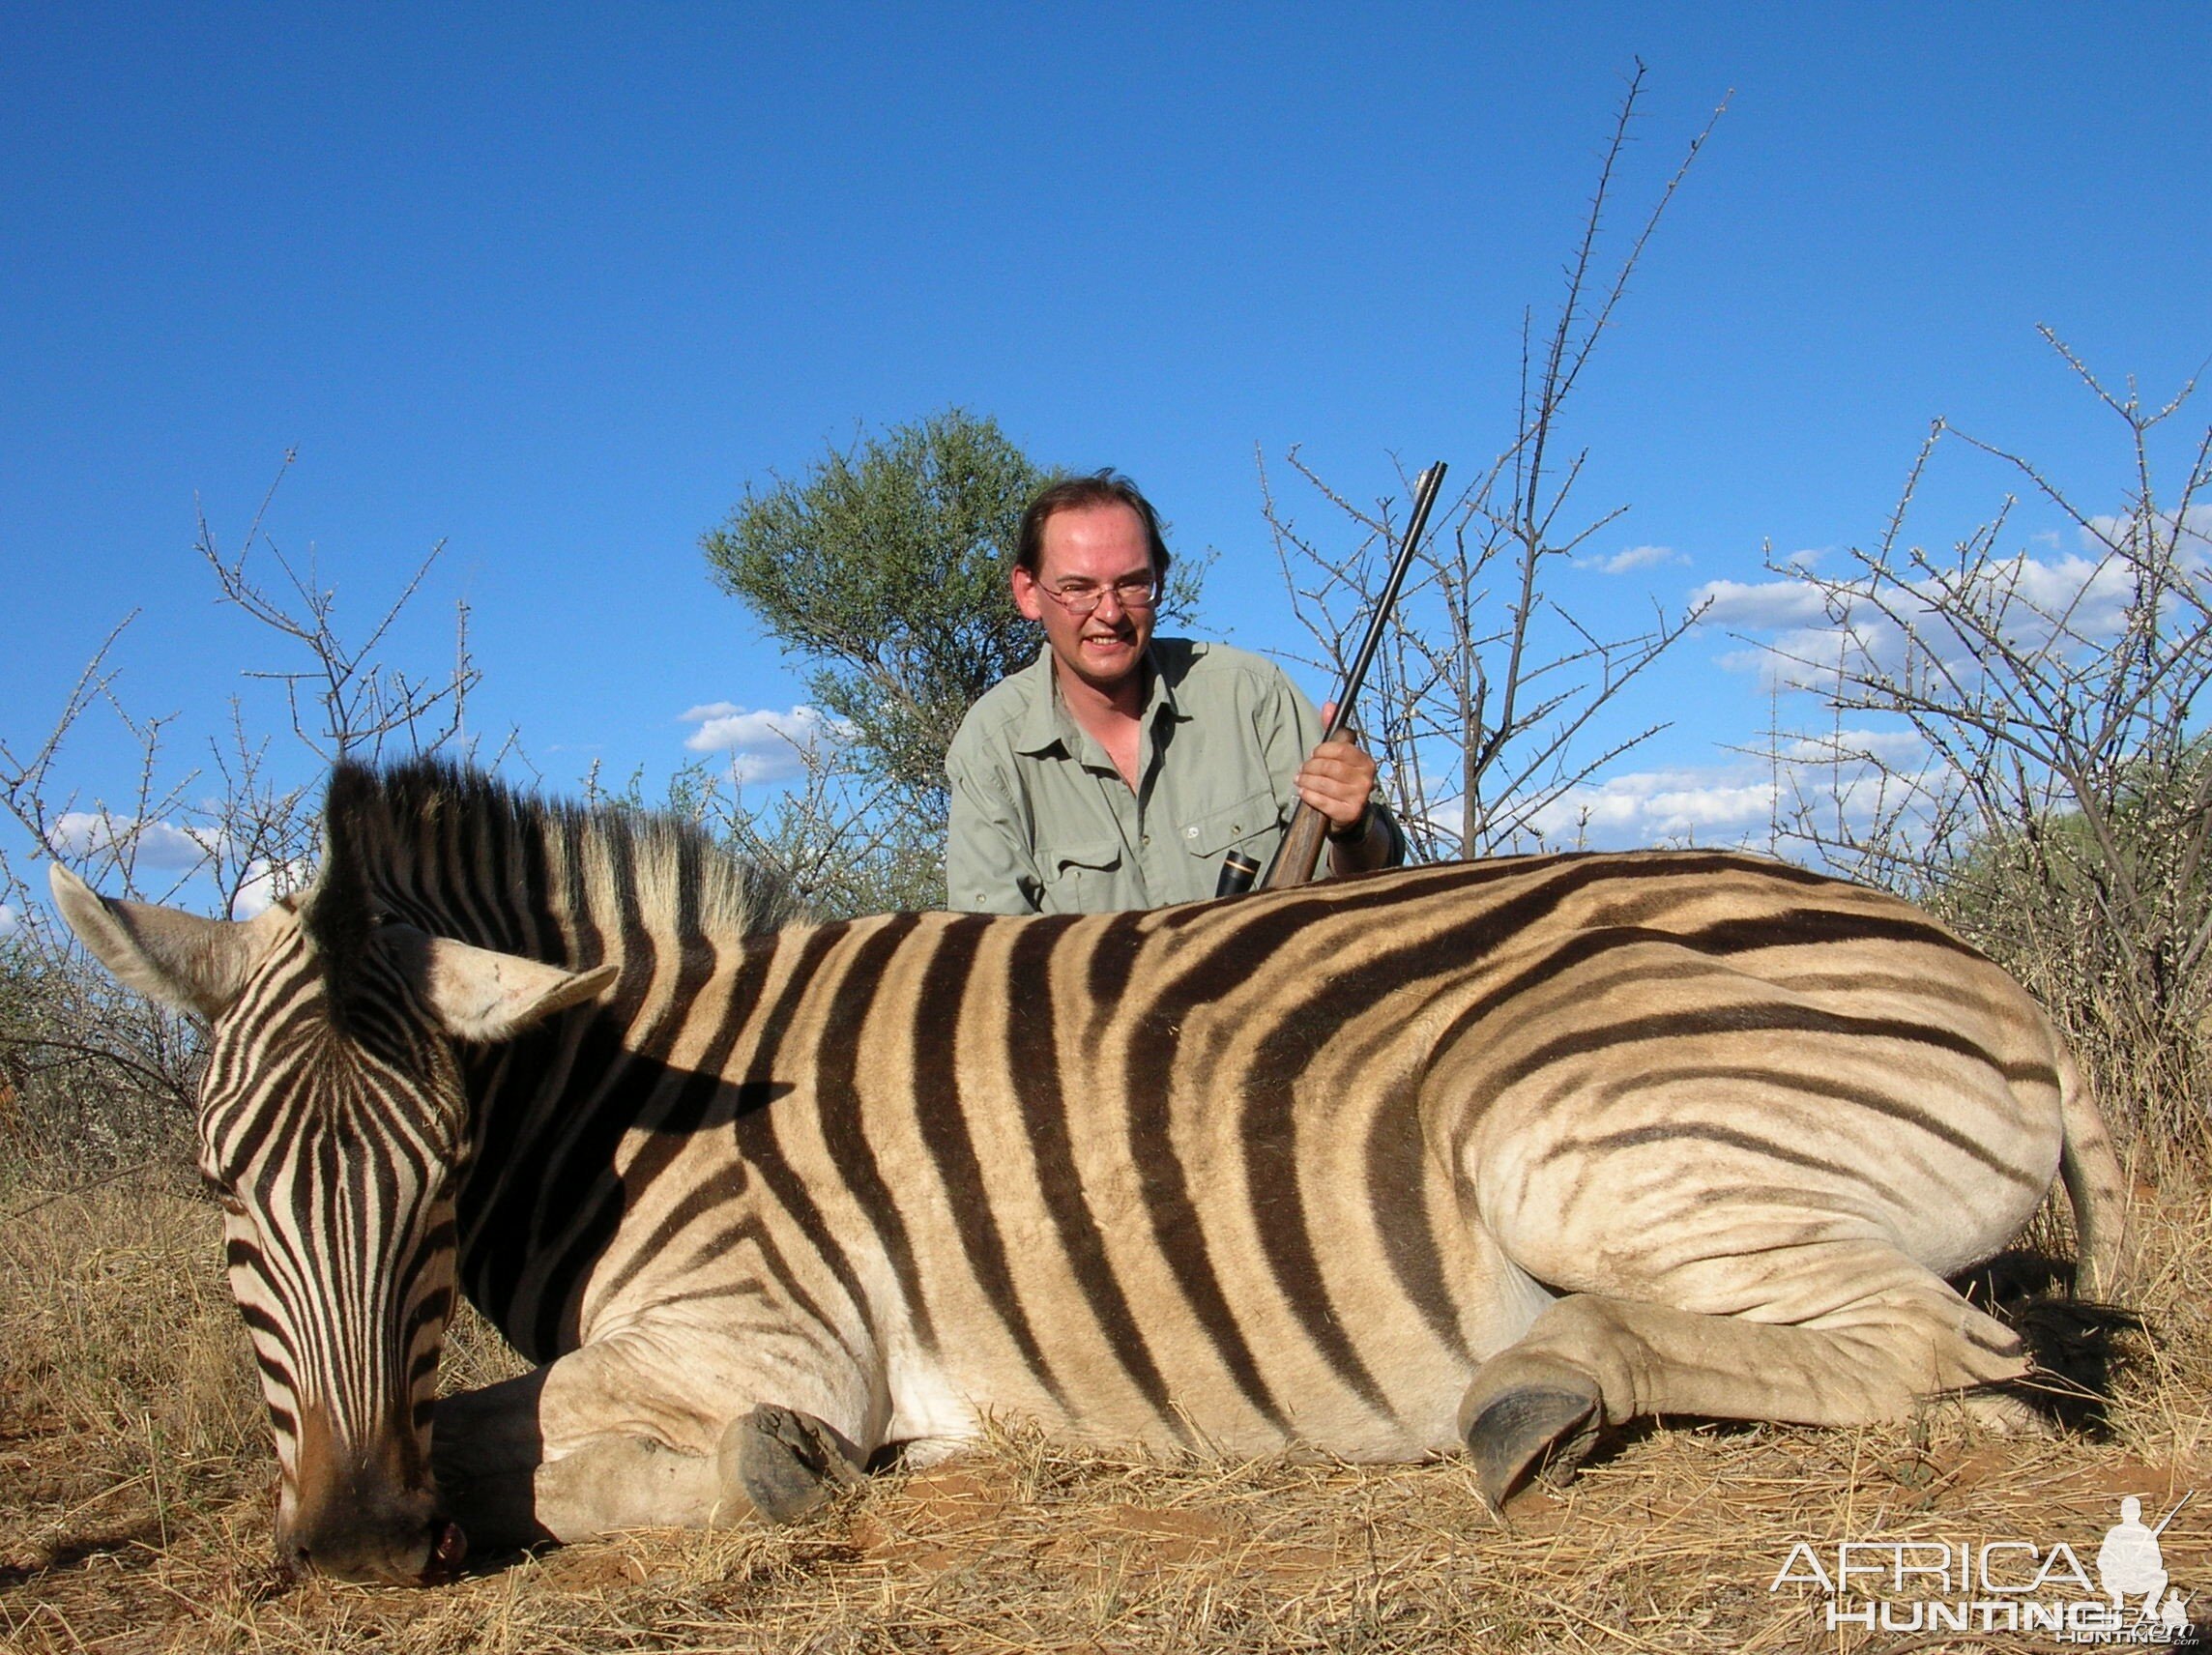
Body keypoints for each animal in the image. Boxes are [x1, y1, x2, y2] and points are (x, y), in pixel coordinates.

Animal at [51, 756, 2123, 1583]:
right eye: (220, 1191)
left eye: (433, 1189)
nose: (351, 1546)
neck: (623, 1100)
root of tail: (1990, 973)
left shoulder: (765, 1336)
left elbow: (521, 1426)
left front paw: (748, 1480)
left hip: (1566, 1138)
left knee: (1953, 1365)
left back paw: (1534, 1387)